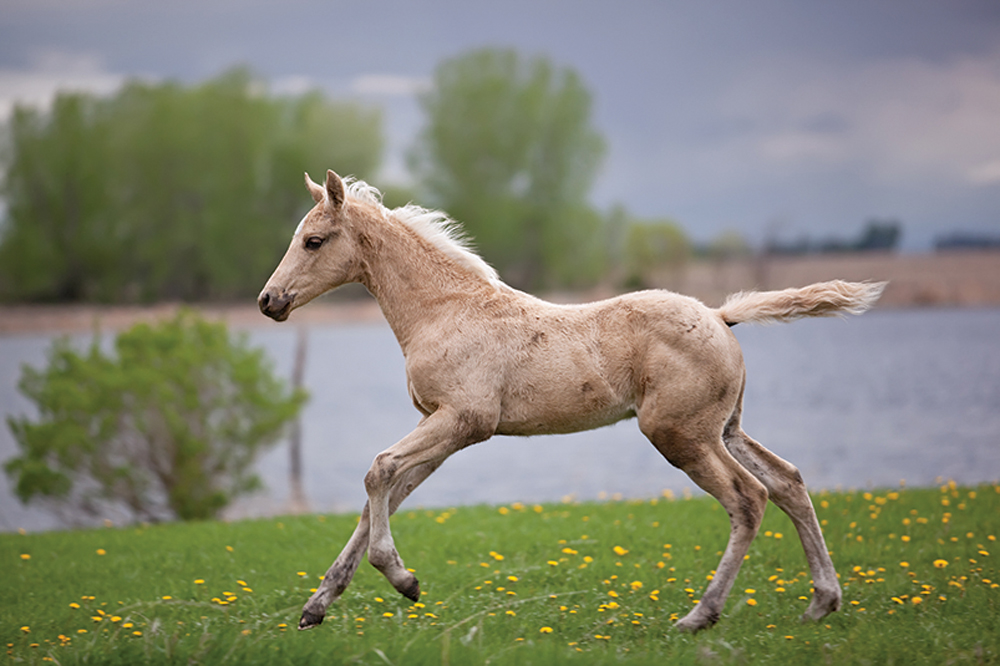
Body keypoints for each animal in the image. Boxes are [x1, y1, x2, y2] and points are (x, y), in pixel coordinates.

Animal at [259, 169, 885, 632]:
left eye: (314, 241)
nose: (269, 301)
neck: (444, 311)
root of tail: (718, 314)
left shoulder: (465, 421)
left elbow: (377, 471)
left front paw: (403, 580)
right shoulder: (441, 429)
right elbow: (382, 494)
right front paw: (316, 607)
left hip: (679, 434)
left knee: (749, 498)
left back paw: (699, 616)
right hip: (724, 428)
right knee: (788, 482)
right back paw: (822, 601)